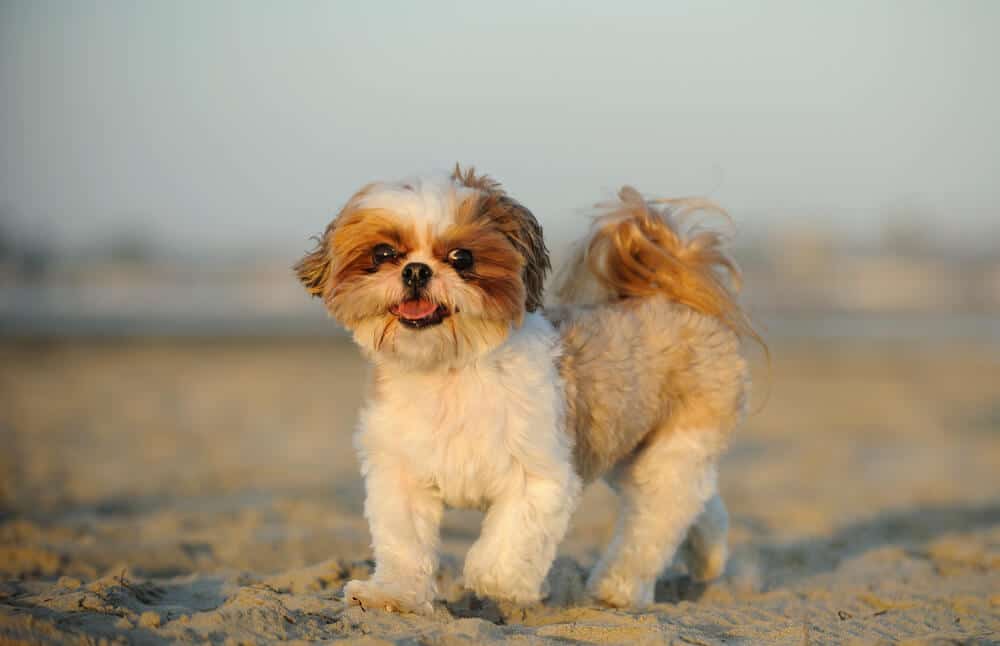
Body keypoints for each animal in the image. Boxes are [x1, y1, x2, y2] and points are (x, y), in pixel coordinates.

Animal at [296, 165, 756, 616]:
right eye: (383, 254)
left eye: (462, 258)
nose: (416, 270)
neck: (450, 370)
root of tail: (674, 296)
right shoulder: (401, 474)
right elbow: (404, 543)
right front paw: (393, 594)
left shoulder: (538, 476)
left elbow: (505, 548)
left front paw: (498, 585)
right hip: (633, 454)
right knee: (700, 505)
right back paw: (707, 557)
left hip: (676, 447)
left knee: (657, 517)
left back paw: (618, 588)